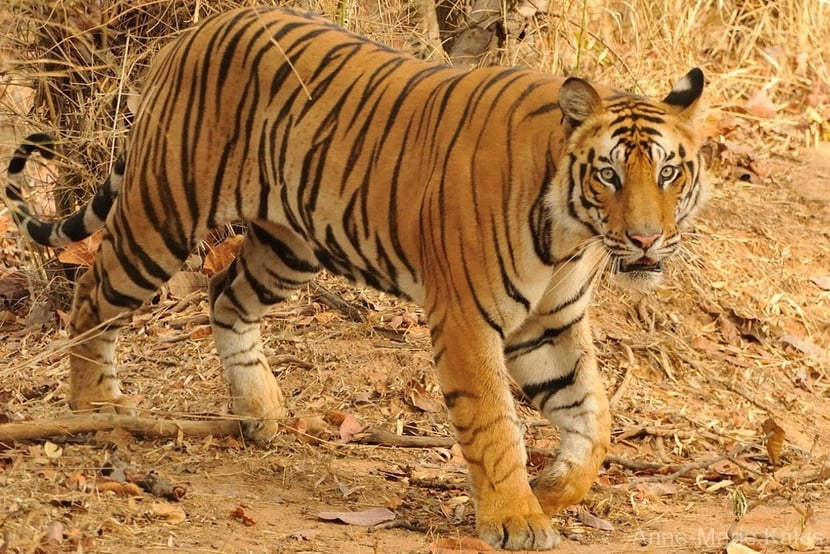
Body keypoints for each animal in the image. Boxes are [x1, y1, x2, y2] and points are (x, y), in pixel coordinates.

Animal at [3, 6, 707, 550]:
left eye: (668, 172)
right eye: (608, 174)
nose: (646, 239)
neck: (569, 233)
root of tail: (194, 31)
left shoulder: (550, 323)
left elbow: (593, 414)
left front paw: (554, 489)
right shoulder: (467, 318)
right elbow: (494, 422)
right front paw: (515, 518)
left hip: (289, 245)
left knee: (226, 296)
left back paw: (260, 412)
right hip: (164, 214)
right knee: (92, 291)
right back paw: (95, 404)